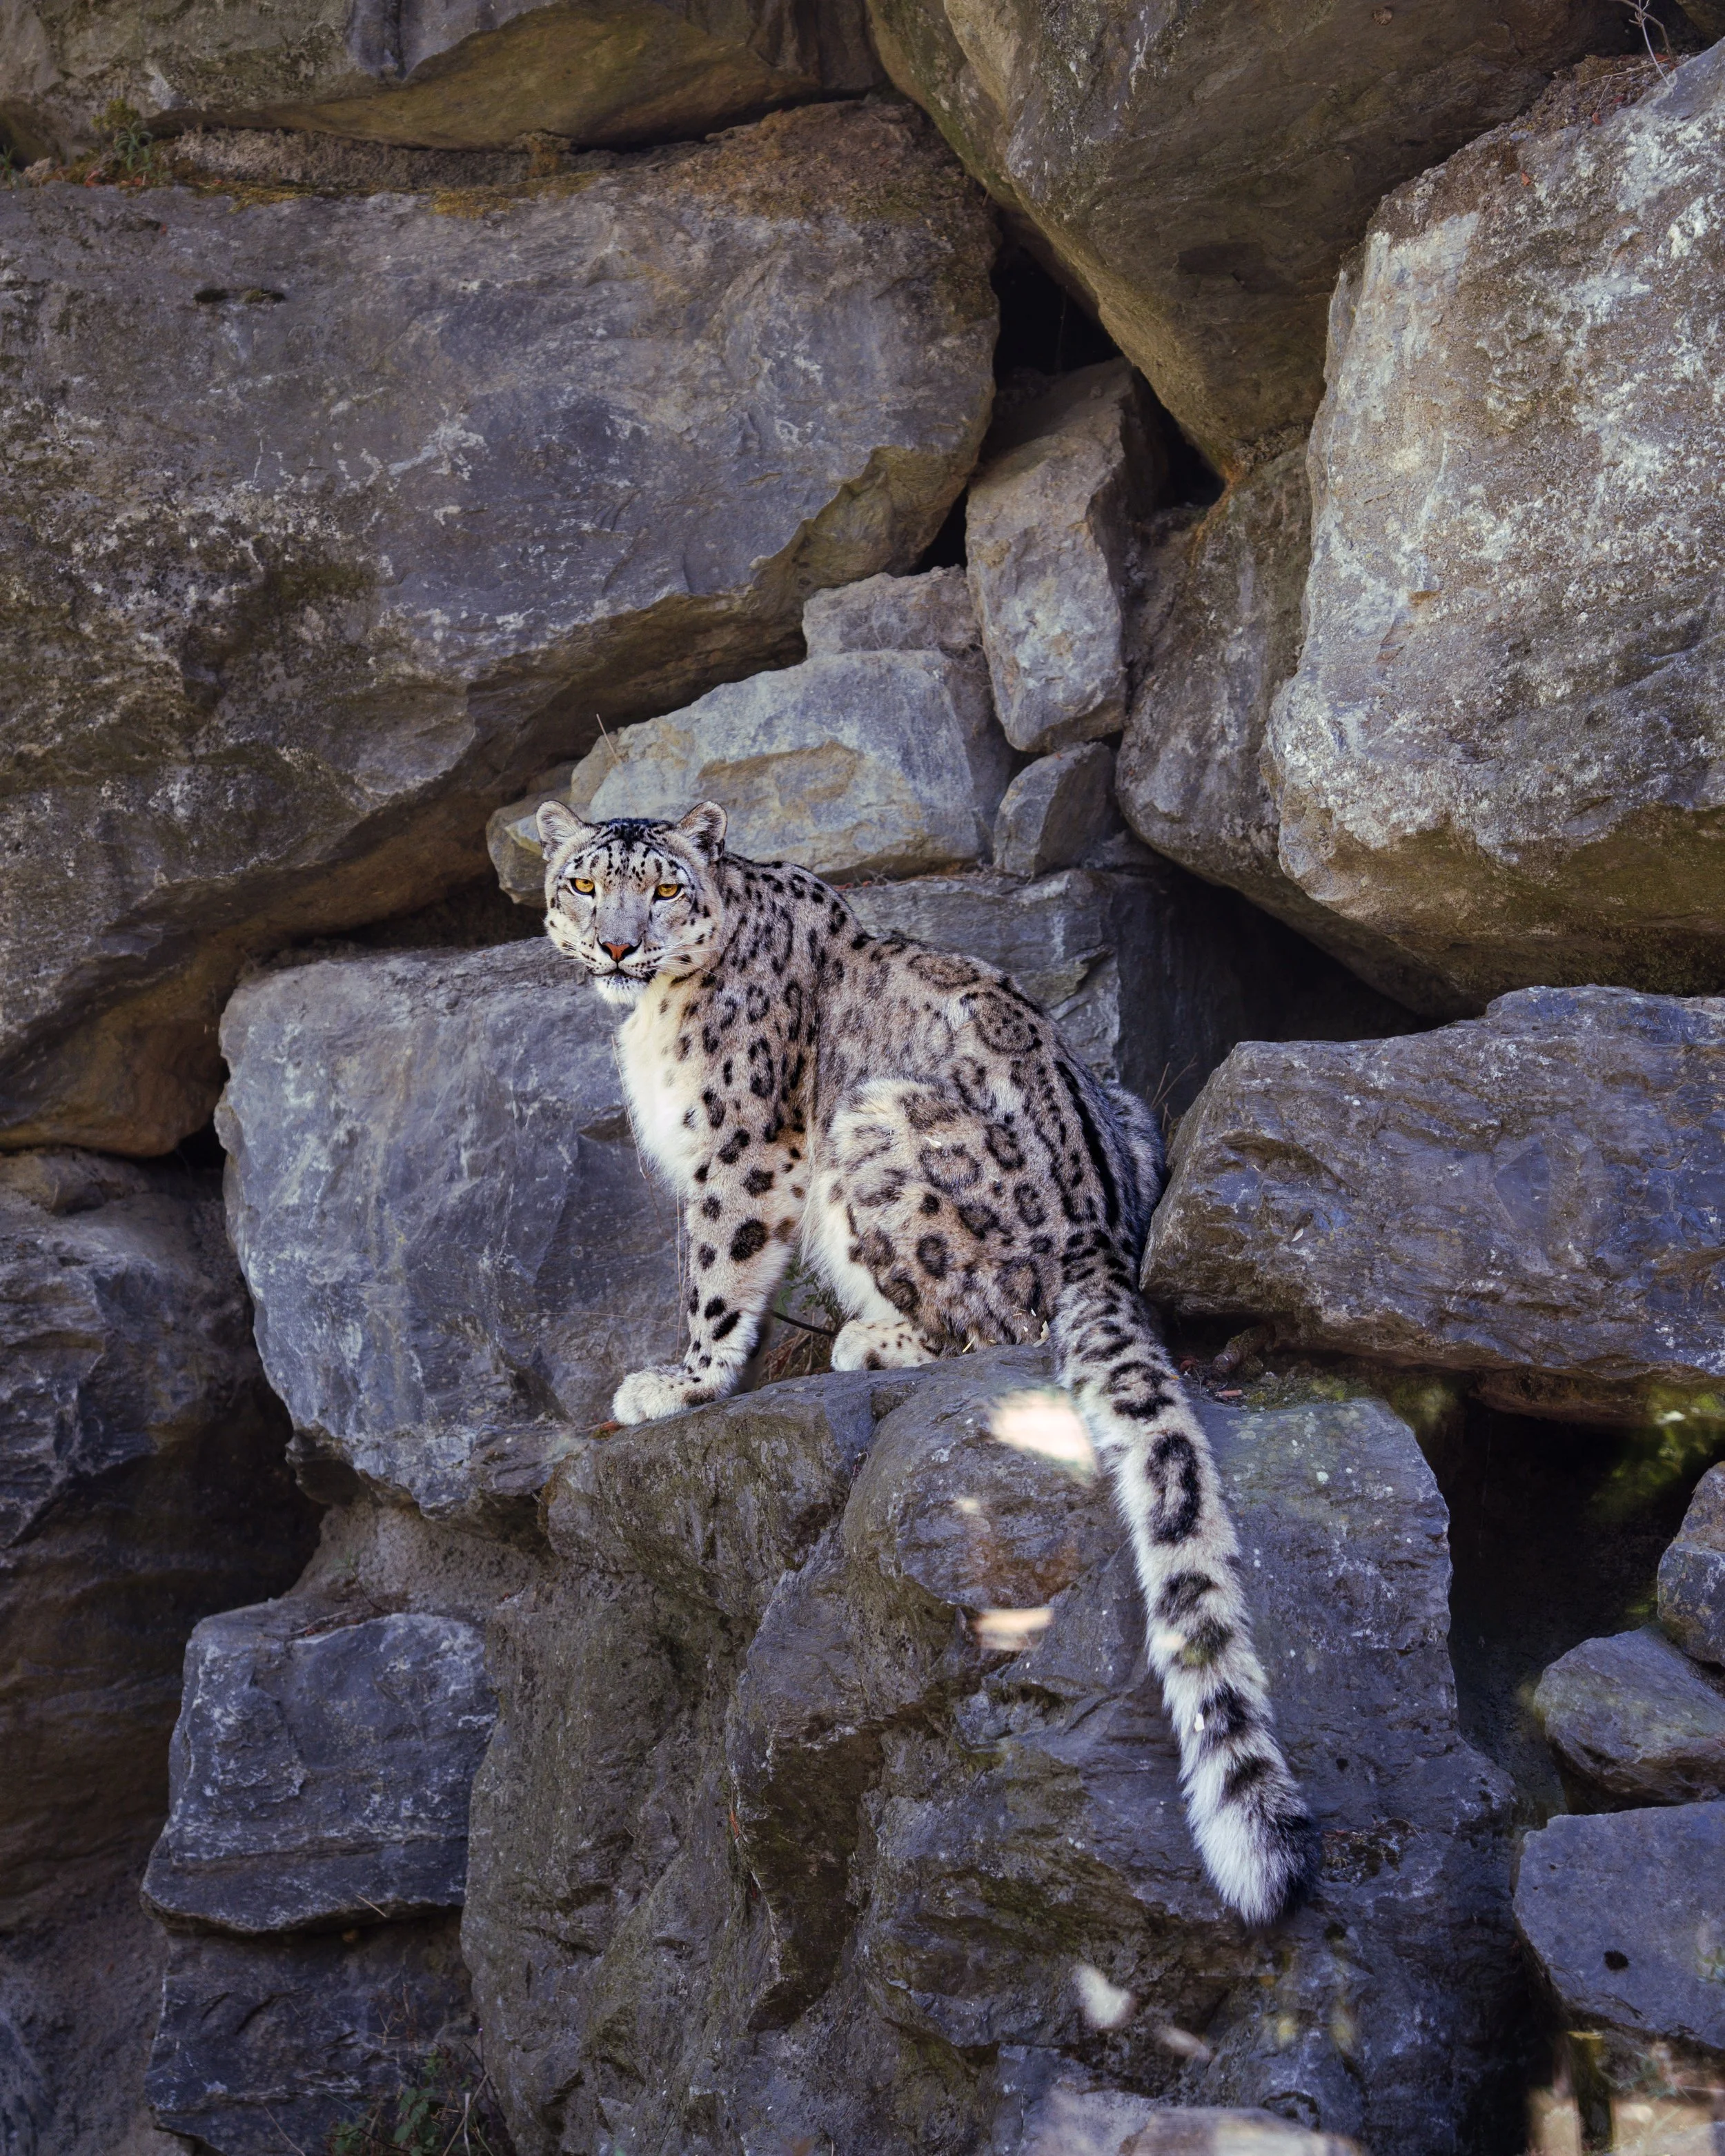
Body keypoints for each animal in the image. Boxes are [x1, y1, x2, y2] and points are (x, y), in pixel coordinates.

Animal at [536, 797, 1318, 1926]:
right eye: (586, 885)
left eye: (668, 887)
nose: (616, 945)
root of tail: (1103, 1244)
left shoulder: (743, 1146)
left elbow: (717, 1263)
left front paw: (682, 1381)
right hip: (1123, 1109)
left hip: (879, 1120)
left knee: (1000, 1322)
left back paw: (869, 1336)